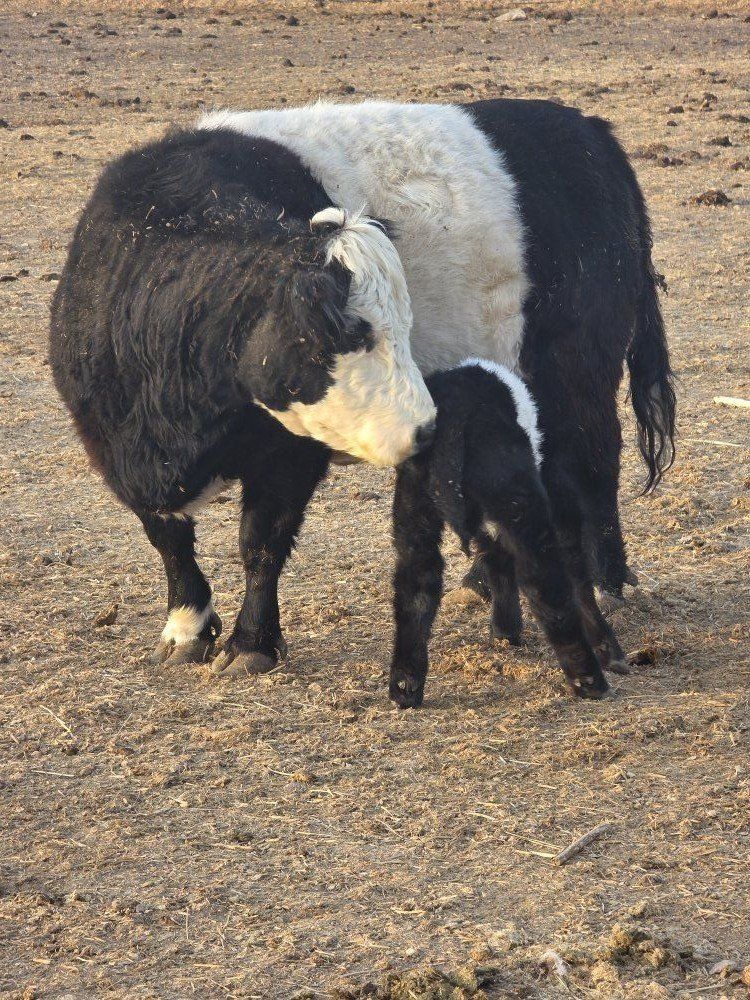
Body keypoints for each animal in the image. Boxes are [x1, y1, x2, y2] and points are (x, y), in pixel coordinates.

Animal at [390, 359, 630, 707]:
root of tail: (456, 419)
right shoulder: (560, 501)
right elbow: (577, 577)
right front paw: (609, 650)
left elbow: (496, 557)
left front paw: (505, 631)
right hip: (518, 497)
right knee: (545, 584)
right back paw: (590, 681)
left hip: (415, 503)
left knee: (416, 582)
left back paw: (405, 687)